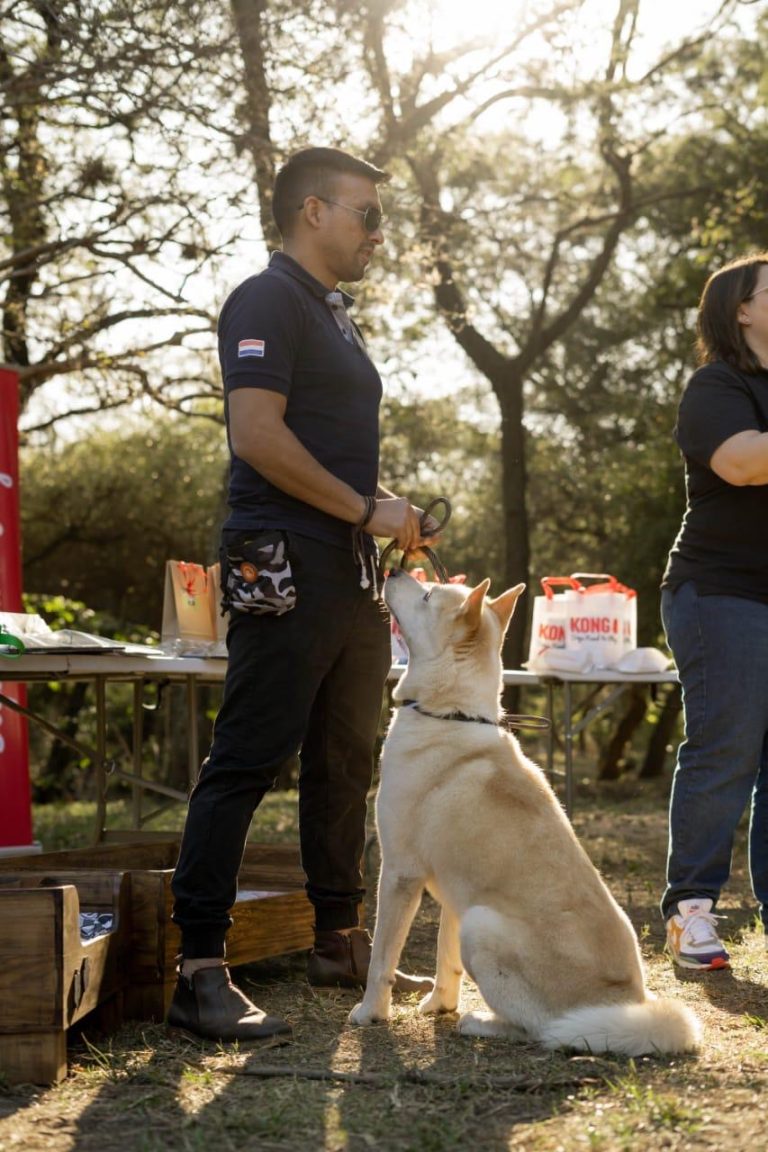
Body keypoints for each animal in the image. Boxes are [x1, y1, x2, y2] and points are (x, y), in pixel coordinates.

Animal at [350, 571, 704, 1055]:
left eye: (426, 594)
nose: (393, 571)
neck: (450, 716)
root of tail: (627, 1002)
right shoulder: (456, 895)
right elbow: (445, 960)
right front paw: (439, 1006)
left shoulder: (400, 874)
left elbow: (381, 959)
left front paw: (371, 1012)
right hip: (474, 916)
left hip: (482, 926)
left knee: (540, 1030)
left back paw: (482, 1022)